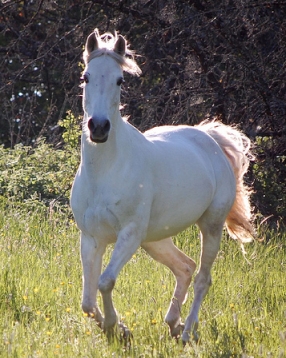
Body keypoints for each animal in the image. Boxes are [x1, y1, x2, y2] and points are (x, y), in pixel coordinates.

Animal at [71, 30, 255, 344]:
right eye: (86, 76)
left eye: (120, 80)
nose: (99, 128)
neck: (105, 172)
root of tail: (210, 139)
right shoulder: (92, 238)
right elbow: (87, 298)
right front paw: (119, 328)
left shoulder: (129, 235)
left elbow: (105, 282)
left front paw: (114, 326)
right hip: (154, 239)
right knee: (185, 267)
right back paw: (173, 323)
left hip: (210, 226)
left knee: (203, 277)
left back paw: (187, 331)